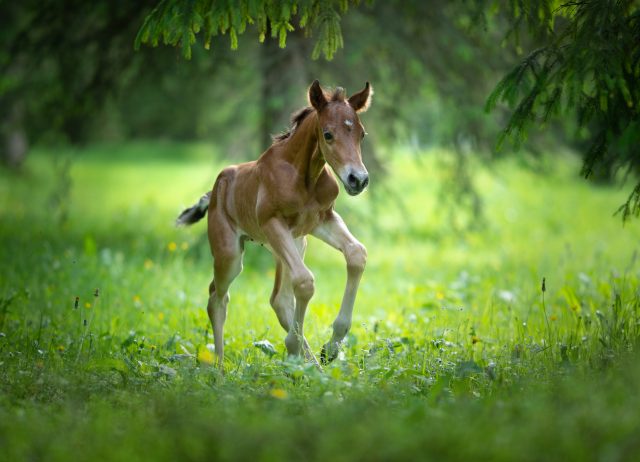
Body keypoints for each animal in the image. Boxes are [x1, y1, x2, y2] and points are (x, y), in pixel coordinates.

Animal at [178, 80, 372, 368]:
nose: (357, 179)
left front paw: (331, 347)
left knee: (279, 299)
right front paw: (295, 346)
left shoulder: (323, 219)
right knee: (217, 298)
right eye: (327, 134)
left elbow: (357, 254)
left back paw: (312, 366)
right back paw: (219, 367)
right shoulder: (272, 224)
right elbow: (305, 282)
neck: (304, 177)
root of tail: (214, 192)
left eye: (362, 134)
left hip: (294, 244)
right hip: (231, 253)